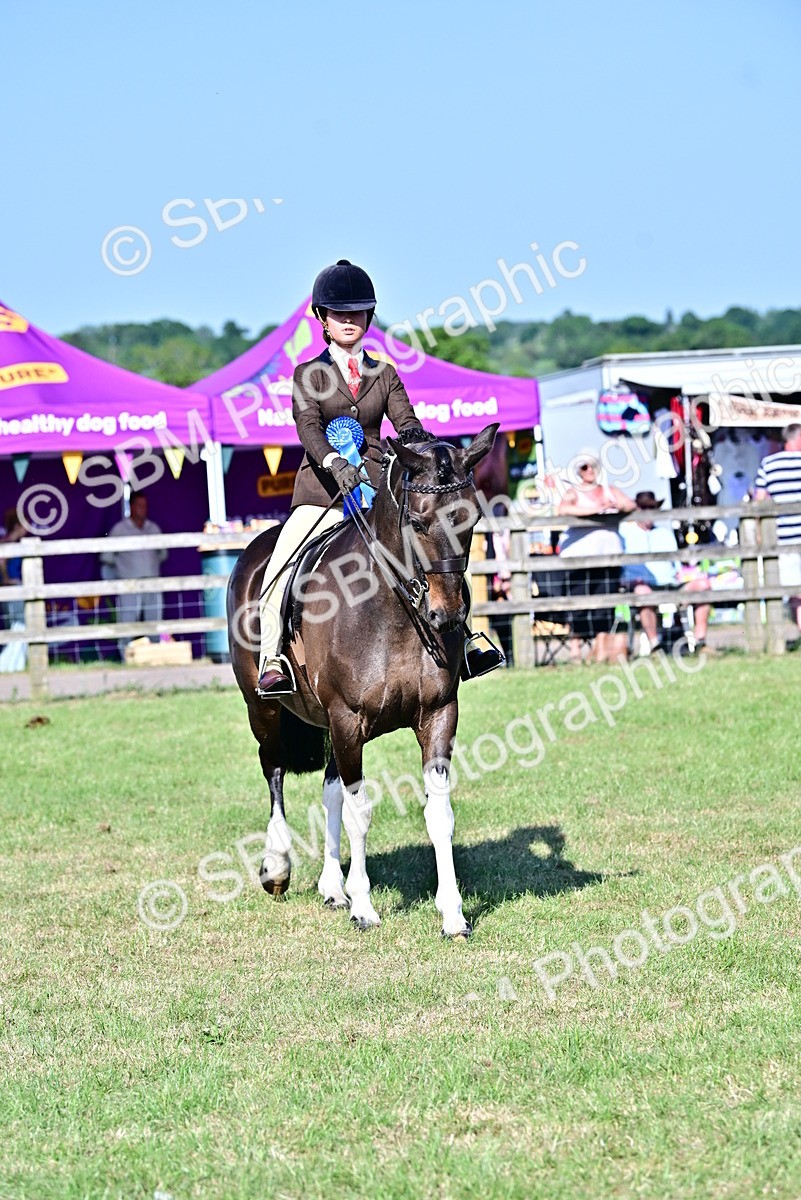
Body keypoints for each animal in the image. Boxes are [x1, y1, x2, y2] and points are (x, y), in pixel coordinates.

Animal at [227, 422, 499, 937]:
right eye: (419, 522)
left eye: (472, 519)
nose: (448, 616)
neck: (393, 609)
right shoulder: (347, 718)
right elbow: (360, 812)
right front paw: (365, 908)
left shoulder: (438, 714)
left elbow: (438, 814)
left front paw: (453, 914)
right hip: (263, 709)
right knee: (274, 770)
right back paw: (277, 867)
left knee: (329, 789)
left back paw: (333, 887)